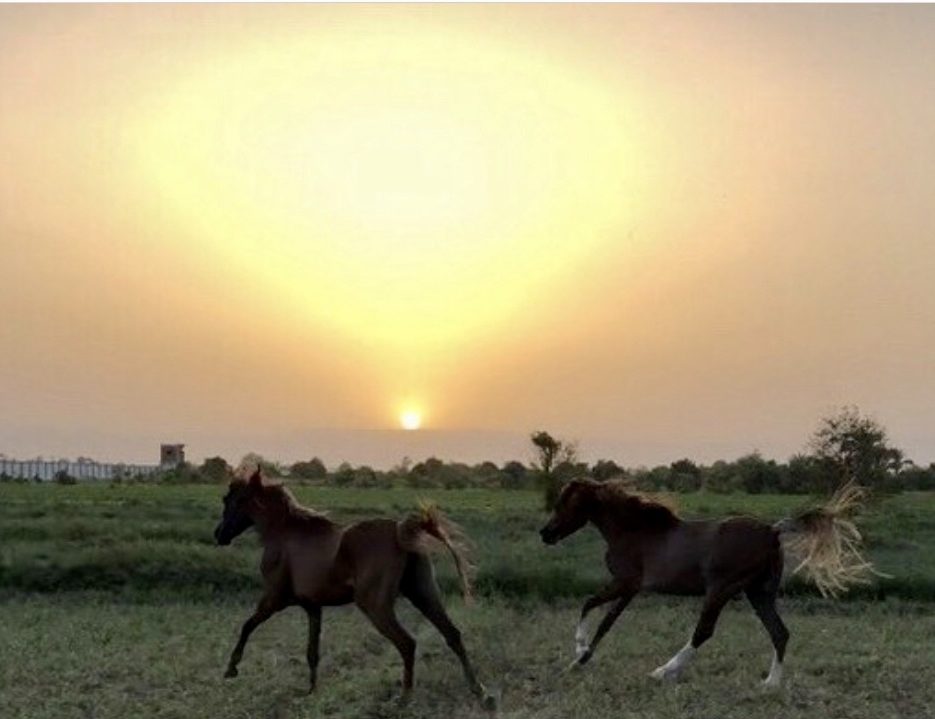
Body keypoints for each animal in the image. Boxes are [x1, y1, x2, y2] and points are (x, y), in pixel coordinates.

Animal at [214, 466, 498, 708]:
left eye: (231, 499)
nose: (219, 535)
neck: (284, 534)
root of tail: (401, 531)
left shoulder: (274, 598)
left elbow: (247, 626)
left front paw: (231, 669)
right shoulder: (312, 606)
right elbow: (312, 651)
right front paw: (311, 691)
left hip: (375, 605)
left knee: (407, 643)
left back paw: (404, 698)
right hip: (423, 594)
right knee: (452, 634)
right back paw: (481, 693)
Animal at [540, 478, 876, 688]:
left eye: (564, 503)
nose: (545, 534)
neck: (635, 531)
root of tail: (772, 530)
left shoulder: (625, 583)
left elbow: (589, 607)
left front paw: (579, 652)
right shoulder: (630, 589)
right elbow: (605, 622)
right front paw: (580, 660)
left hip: (720, 590)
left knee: (703, 632)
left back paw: (663, 672)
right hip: (759, 593)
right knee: (780, 633)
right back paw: (771, 683)